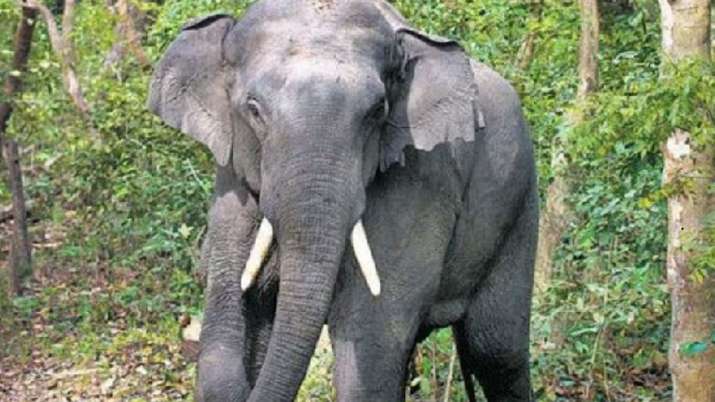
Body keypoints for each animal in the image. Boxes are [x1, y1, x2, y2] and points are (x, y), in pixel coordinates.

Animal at [148, 0, 538, 401]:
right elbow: (228, 320)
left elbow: (370, 336)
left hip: (520, 205)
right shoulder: (232, 178)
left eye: (377, 111)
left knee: (495, 348)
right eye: (253, 109)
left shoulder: (420, 177)